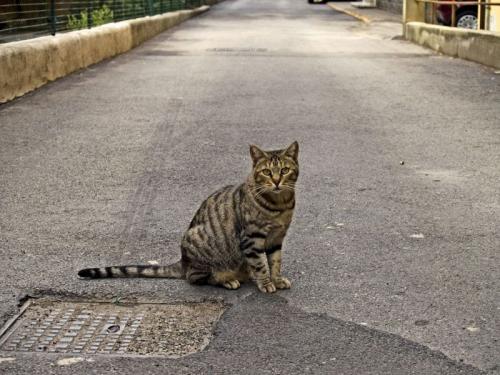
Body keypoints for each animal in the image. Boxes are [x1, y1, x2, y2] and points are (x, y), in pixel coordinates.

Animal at [78, 142, 298, 294]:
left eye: (285, 170)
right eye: (267, 172)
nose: (276, 181)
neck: (280, 205)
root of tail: (183, 260)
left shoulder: (277, 238)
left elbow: (275, 262)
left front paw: (277, 279)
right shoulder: (251, 239)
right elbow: (261, 265)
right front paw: (266, 283)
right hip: (199, 243)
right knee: (196, 277)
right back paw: (226, 279)